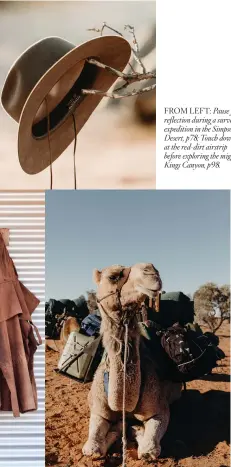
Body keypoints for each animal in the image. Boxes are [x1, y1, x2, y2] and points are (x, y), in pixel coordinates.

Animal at [83, 264, 182, 460]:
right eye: (113, 276)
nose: (151, 271)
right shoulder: (97, 409)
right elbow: (92, 449)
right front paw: (118, 429)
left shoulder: (160, 409)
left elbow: (149, 450)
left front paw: (135, 429)